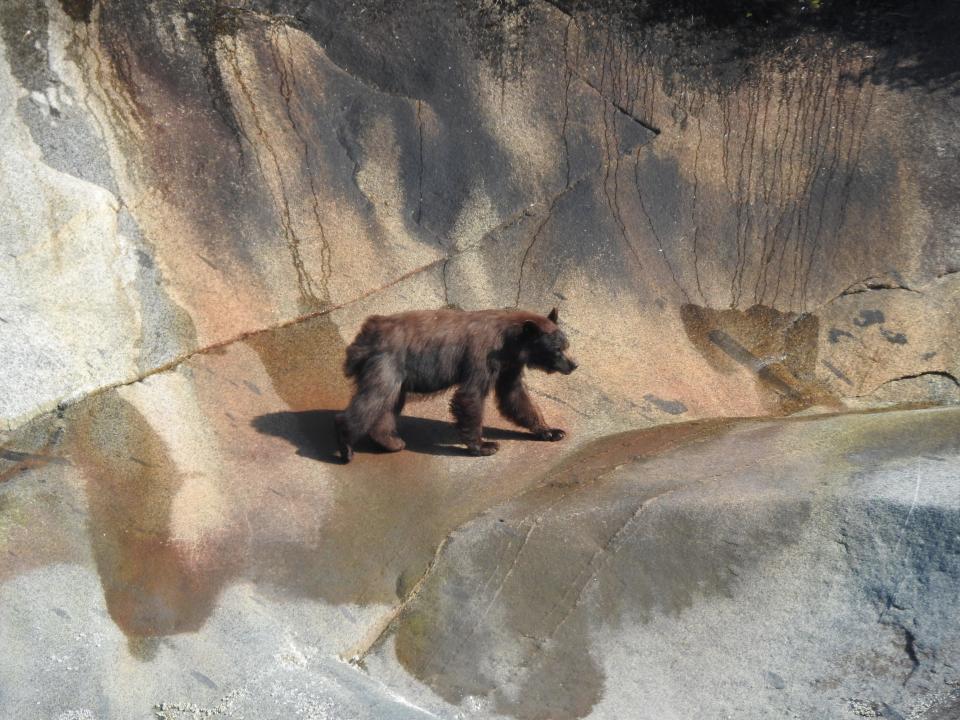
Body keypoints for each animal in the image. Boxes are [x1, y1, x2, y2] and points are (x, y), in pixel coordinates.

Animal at [338, 306, 576, 464]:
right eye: (558, 349)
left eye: (566, 344)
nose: (574, 365)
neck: (510, 343)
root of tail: (364, 335)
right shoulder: (482, 356)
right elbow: (471, 395)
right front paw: (485, 445)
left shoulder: (509, 365)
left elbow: (514, 395)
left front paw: (551, 431)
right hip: (387, 363)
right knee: (374, 398)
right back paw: (346, 442)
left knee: (388, 404)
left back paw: (391, 441)